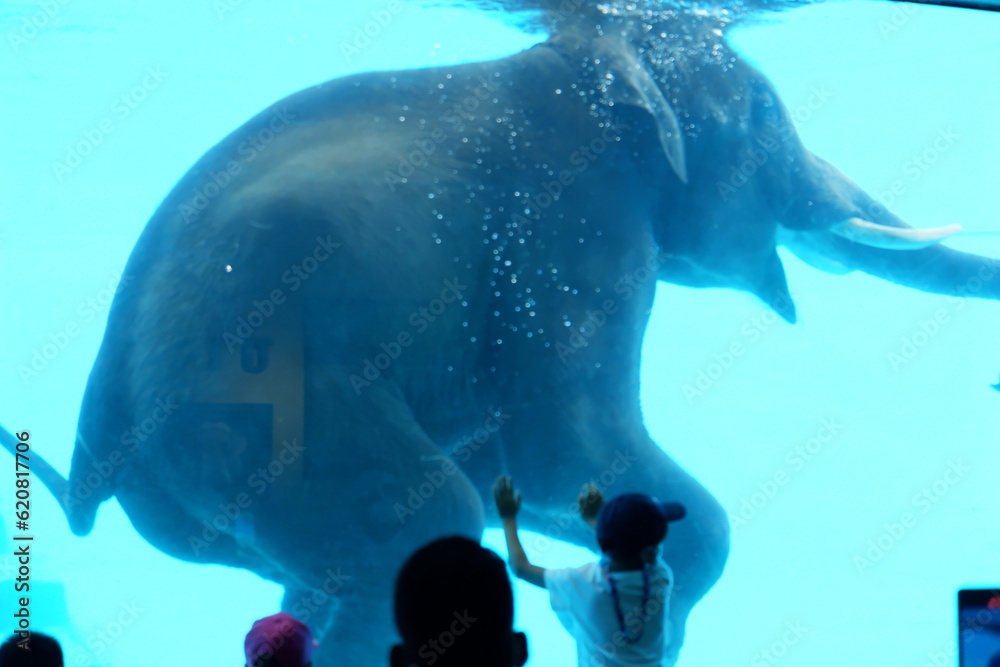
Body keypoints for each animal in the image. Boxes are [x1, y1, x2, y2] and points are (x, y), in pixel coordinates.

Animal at [14, 2, 997, 666]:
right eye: (762, 114)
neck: (577, 58)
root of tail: (95, 465)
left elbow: (519, 471)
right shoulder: (572, 234)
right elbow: (566, 450)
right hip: (261, 414)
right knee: (420, 518)